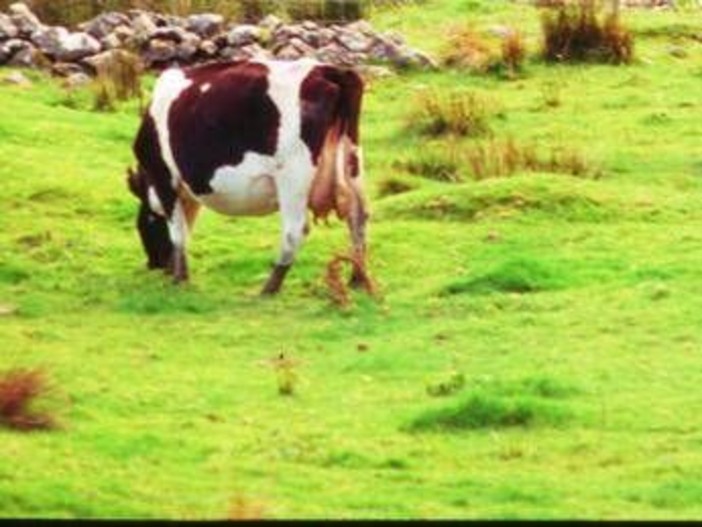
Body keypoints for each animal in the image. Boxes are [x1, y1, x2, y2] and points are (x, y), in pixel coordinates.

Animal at [127, 58, 370, 295]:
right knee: (357, 216)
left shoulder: (164, 177)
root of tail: (326, 70)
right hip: (352, 162)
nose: (153, 264)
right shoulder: (186, 191)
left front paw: (179, 278)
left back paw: (270, 287)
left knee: (295, 230)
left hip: (293, 176)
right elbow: (187, 226)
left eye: (142, 224)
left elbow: (178, 231)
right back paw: (357, 277)